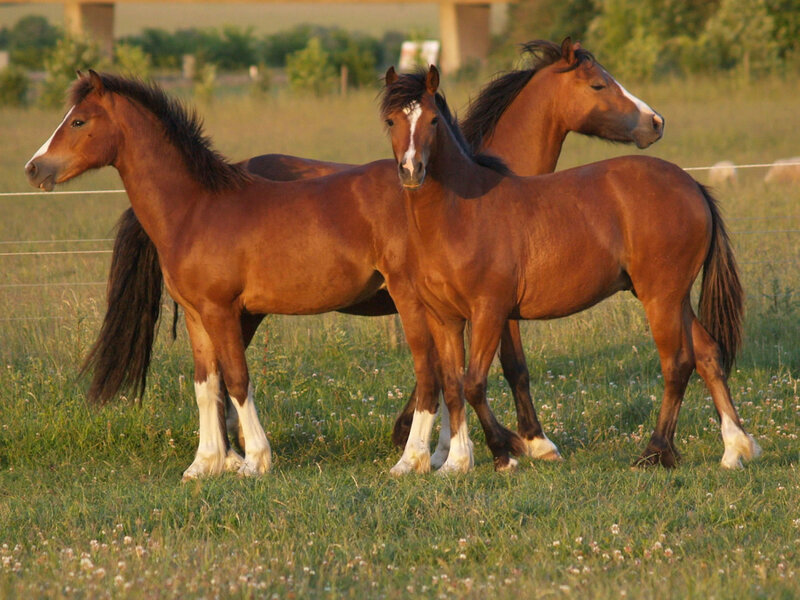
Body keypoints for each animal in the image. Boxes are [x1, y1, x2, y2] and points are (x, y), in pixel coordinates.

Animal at [87, 38, 664, 469]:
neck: (476, 182)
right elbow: (506, 367)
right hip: (240, 310)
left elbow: (447, 372)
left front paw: (435, 445)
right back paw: (235, 454)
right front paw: (528, 443)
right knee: (225, 373)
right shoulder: (493, 303)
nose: (655, 122)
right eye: (599, 84)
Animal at [381, 65, 760, 471]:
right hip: (673, 297)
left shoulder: (489, 312)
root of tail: (691, 184)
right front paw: (457, 461)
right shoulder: (445, 317)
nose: (411, 170)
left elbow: (475, 383)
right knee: (707, 353)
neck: (459, 214)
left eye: (433, 120)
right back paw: (735, 449)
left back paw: (656, 451)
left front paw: (505, 452)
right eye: (391, 120)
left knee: (677, 363)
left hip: (661, 297)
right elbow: (453, 385)